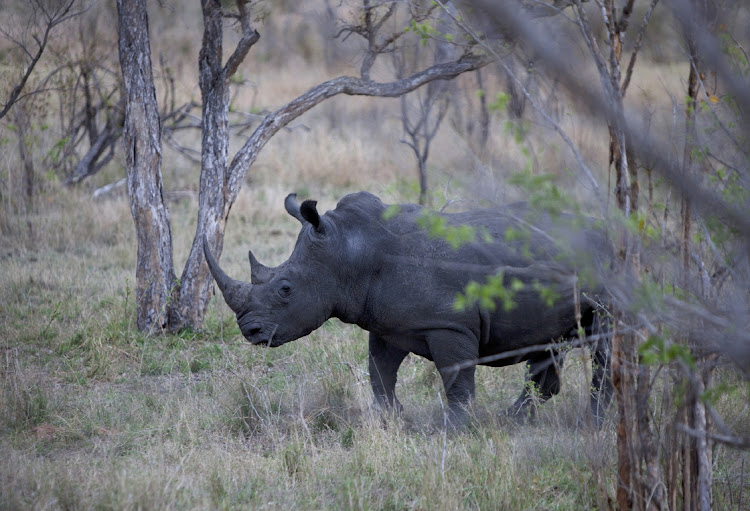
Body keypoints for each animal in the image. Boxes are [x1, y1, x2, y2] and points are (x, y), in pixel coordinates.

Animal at [203, 190, 612, 426]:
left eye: (285, 289)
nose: (250, 331)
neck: (349, 252)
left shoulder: (449, 324)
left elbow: (456, 380)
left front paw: (456, 429)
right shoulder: (386, 323)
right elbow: (379, 372)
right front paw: (391, 418)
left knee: (604, 345)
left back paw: (595, 423)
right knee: (551, 344)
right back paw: (516, 419)